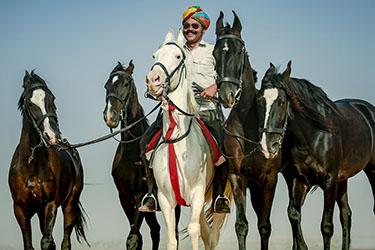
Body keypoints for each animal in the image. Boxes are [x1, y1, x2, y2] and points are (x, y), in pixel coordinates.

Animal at [9, 70, 88, 250]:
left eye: (52, 98)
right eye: (30, 102)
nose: (51, 135)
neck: (30, 165)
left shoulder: (50, 204)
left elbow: (46, 241)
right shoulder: (20, 209)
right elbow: (30, 244)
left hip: (69, 205)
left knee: (65, 240)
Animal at [103, 61, 162, 250]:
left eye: (126, 84)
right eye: (107, 85)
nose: (110, 116)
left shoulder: (141, 195)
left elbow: (133, 237)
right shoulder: (124, 196)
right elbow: (136, 238)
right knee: (156, 230)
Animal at [146, 29, 229, 250]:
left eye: (177, 56)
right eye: (154, 56)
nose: (153, 80)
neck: (177, 139)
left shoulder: (197, 194)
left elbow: (193, 231)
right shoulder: (166, 199)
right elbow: (171, 239)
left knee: (209, 234)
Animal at [213, 11, 284, 250]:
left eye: (238, 51)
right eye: (215, 53)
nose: (227, 95)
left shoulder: (269, 180)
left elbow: (265, 226)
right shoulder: (239, 177)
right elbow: (242, 225)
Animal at [258, 61, 375, 250]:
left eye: (282, 102)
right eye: (259, 101)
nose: (267, 146)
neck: (313, 137)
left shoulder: (329, 181)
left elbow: (326, 226)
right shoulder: (299, 180)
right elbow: (293, 214)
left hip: (371, 171)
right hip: (342, 179)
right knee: (346, 215)